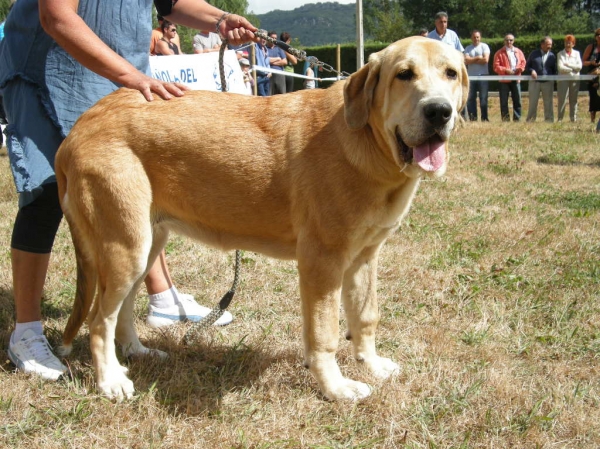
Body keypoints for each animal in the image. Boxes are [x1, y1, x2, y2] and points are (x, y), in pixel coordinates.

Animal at [56, 37, 466, 400]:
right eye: (404, 75)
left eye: (450, 73)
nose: (439, 111)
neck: (368, 142)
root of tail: (78, 128)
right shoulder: (322, 262)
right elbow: (324, 334)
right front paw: (336, 388)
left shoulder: (364, 257)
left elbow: (366, 318)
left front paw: (373, 366)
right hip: (125, 245)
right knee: (98, 321)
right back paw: (111, 382)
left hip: (145, 244)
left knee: (121, 311)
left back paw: (136, 353)